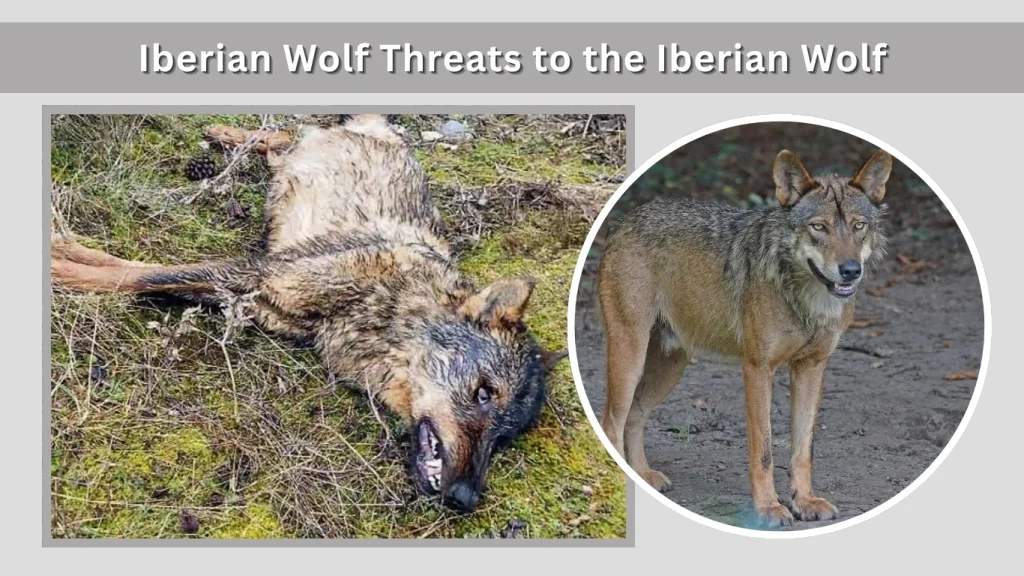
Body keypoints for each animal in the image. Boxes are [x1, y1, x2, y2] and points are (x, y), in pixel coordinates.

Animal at [50, 114, 567, 512]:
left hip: (291, 170)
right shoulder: (256, 271)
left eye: (505, 437)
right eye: (484, 393)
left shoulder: (253, 298)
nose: (465, 499)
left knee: (282, 140)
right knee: (284, 130)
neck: (381, 308)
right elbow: (135, 273)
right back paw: (223, 132)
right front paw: (62, 261)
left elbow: (145, 278)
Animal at [597, 148, 892, 527]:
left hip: (669, 369)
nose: (851, 270)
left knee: (634, 418)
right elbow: (764, 452)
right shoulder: (757, 369)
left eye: (858, 226)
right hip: (630, 359)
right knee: (611, 423)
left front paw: (804, 501)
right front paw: (768, 508)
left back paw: (643, 475)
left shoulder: (811, 369)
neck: (809, 301)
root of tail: (624, 221)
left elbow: (803, 450)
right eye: (819, 227)